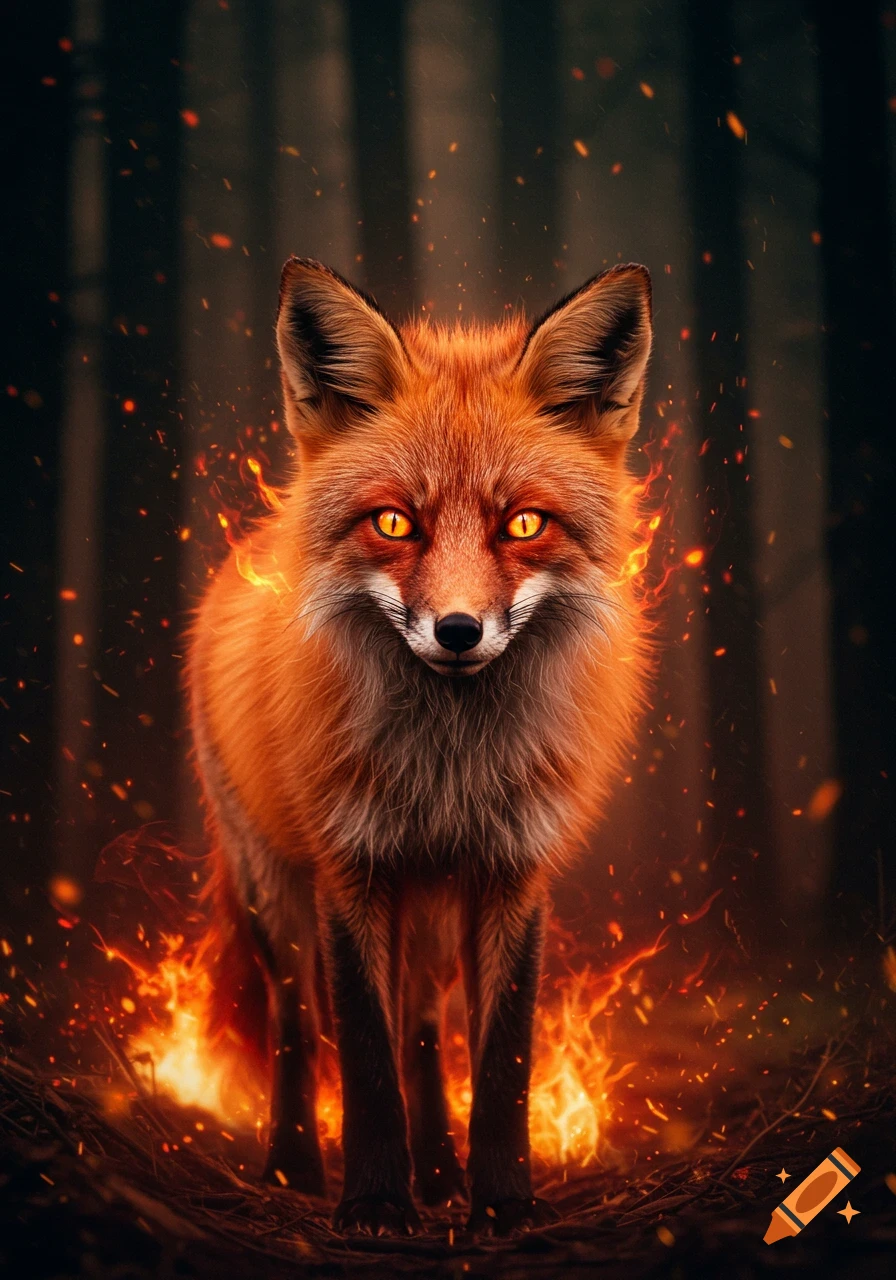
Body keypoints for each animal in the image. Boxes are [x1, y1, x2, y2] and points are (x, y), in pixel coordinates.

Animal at [188, 256, 654, 1236]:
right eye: (395, 523)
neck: (448, 771)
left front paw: (500, 1203)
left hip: (434, 916)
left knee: (425, 1034)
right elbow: (363, 1052)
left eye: (524, 524)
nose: (458, 631)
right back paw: (294, 1163)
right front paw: (372, 1200)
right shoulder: (351, 867)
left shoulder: (512, 871)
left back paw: (438, 1172)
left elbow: (499, 1056)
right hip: (272, 892)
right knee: (298, 1026)